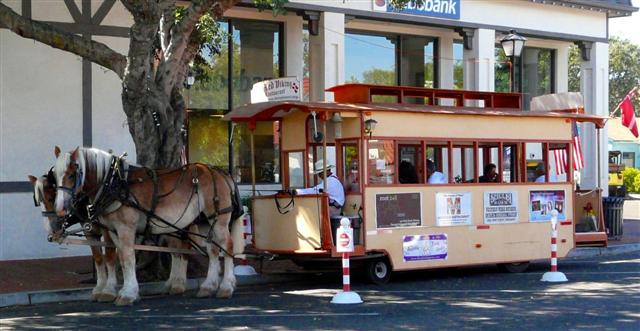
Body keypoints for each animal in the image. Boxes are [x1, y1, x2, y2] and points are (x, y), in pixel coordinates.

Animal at [28, 171, 117, 304]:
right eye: (37, 201)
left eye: (51, 198)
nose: (51, 228)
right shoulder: (90, 232)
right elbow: (98, 258)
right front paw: (99, 288)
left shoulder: (108, 230)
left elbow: (110, 257)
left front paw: (109, 290)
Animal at [52, 147, 242, 306]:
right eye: (55, 176)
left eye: (71, 174)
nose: (60, 209)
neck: (113, 183)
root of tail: (221, 173)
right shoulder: (113, 231)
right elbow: (121, 259)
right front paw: (128, 291)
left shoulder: (125, 228)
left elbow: (128, 258)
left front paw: (127, 294)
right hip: (204, 220)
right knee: (213, 250)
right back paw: (208, 286)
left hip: (218, 218)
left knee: (227, 246)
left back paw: (226, 286)